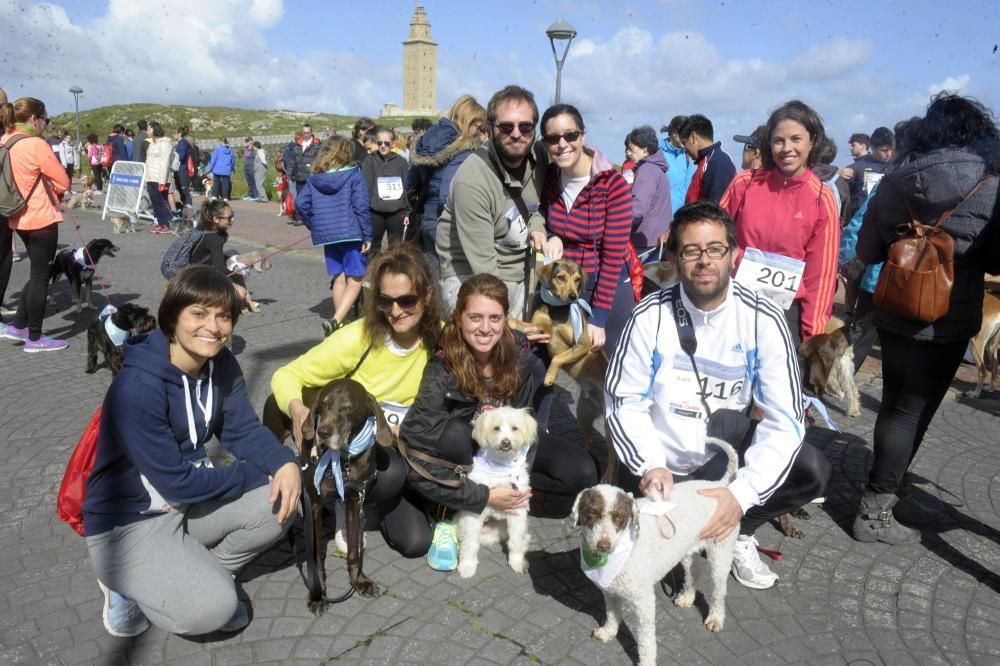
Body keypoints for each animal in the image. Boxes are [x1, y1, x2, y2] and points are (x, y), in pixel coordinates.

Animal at [458, 404, 540, 576]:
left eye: (515, 428)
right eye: (496, 428)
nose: (506, 442)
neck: (500, 467)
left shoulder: (518, 512)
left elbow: (516, 540)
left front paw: (517, 562)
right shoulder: (474, 515)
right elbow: (470, 542)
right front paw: (467, 565)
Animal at [512, 256, 612, 480]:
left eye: (577, 280)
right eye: (561, 277)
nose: (574, 297)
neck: (556, 311)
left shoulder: (583, 345)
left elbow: (558, 358)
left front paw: (549, 377)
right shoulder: (539, 328)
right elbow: (518, 323)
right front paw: (508, 322)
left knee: (615, 458)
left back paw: (608, 475)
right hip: (583, 413)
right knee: (590, 440)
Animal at [572, 436, 744, 664]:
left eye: (619, 517)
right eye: (591, 513)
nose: (604, 545)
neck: (626, 548)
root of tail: (720, 485)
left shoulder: (644, 601)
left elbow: (646, 640)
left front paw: (646, 661)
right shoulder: (610, 591)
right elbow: (612, 613)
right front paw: (609, 632)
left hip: (721, 551)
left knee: (719, 590)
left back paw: (715, 618)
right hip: (686, 551)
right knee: (693, 572)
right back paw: (687, 597)